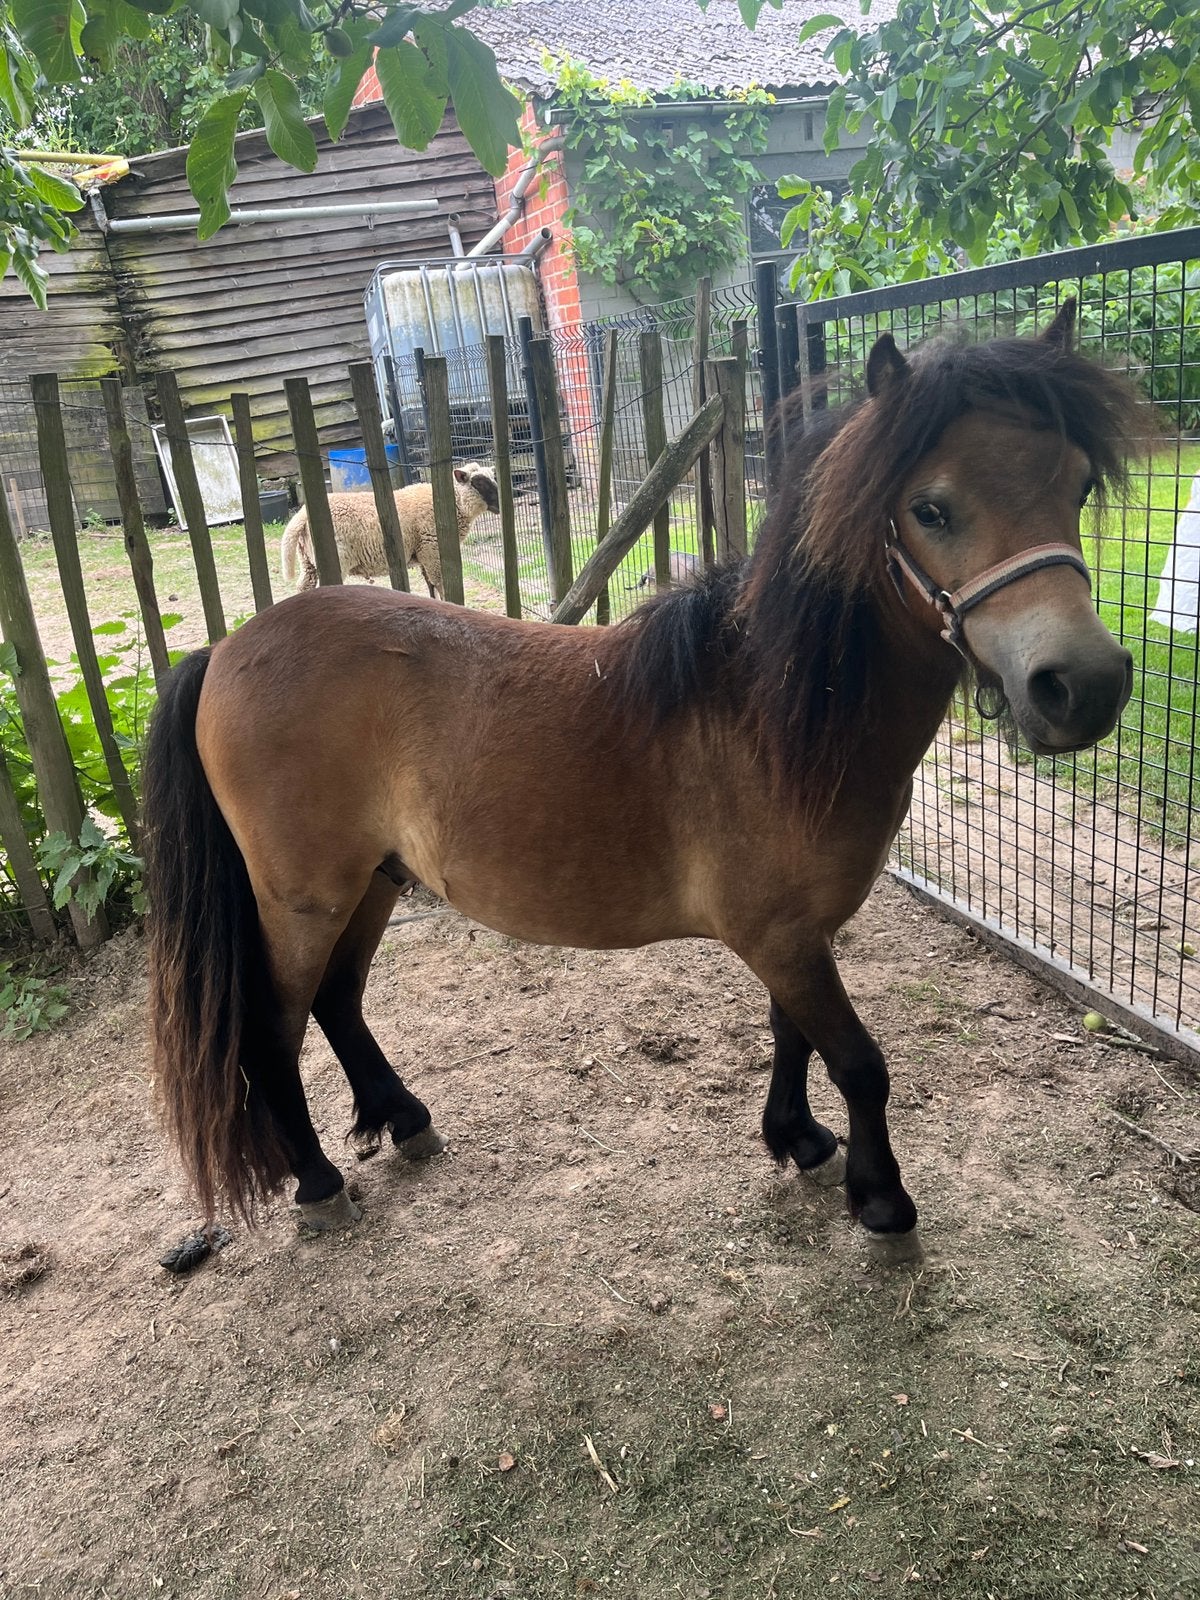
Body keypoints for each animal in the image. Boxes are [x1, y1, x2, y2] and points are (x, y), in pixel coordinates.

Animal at [142, 300, 1147, 1265]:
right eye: (931, 509)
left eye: (1077, 486)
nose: (1083, 685)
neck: (770, 712)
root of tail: (224, 650)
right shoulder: (781, 937)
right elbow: (860, 1062)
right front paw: (883, 1200)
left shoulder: (796, 935)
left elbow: (792, 1034)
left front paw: (800, 1140)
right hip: (302, 898)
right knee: (274, 1029)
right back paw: (317, 1184)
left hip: (373, 882)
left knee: (337, 1003)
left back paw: (406, 1120)